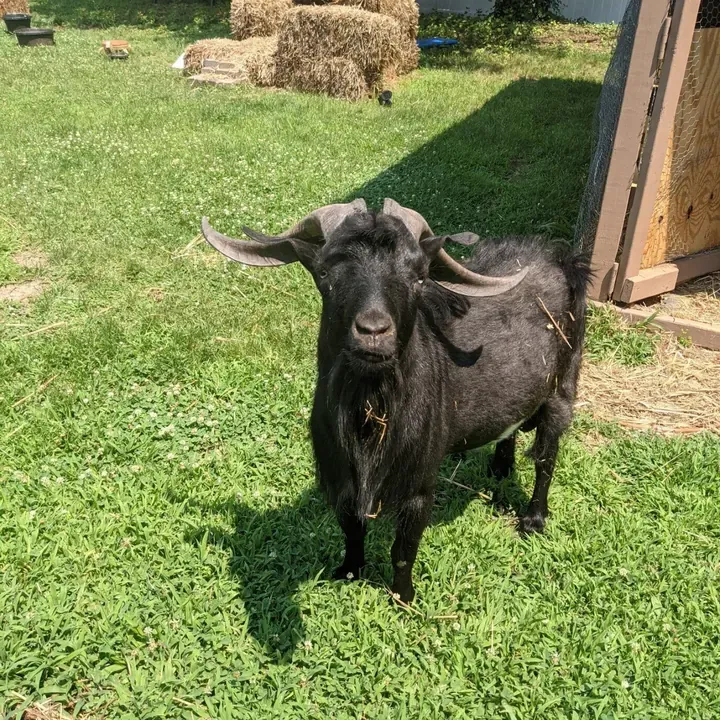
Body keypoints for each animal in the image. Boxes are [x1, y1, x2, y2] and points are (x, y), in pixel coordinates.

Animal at [201, 199, 590, 603]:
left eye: (419, 276)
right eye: (324, 273)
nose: (373, 331)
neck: (371, 412)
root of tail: (560, 256)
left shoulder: (418, 481)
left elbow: (404, 547)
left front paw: (403, 597)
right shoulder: (343, 475)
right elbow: (351, 527)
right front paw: (349, 571)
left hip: (563, 383)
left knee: (547, 455)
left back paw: (533, 519)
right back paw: (499, 469)